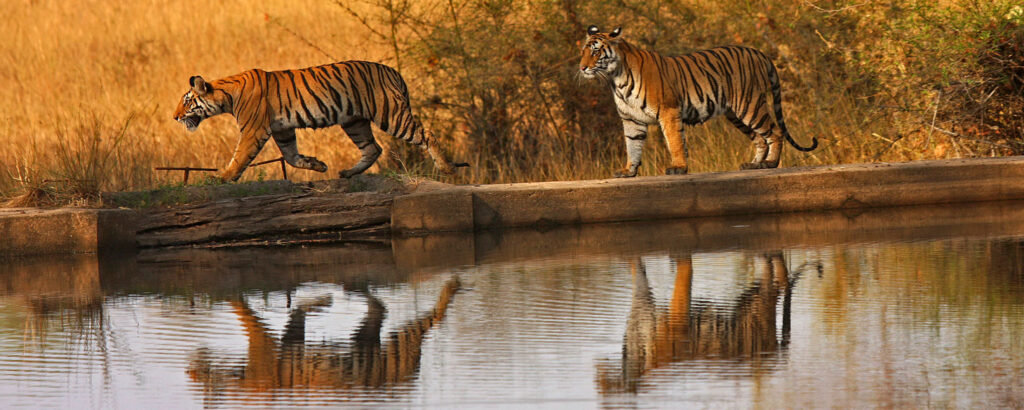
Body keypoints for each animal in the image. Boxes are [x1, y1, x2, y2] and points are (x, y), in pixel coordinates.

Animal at [173, 59, 468, 181]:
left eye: (187, 101)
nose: (174, 117)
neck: (227, 96)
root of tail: (393, 71)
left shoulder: (253, 130)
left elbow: (240, 156)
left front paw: (224, 177)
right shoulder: (282, 130)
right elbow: (291, 156)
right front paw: (317, 165)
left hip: (391, 116)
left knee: (427, 134)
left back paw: (447, 169)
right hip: (354, 121)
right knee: (373, 148)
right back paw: (347, 173)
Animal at [581, 24, 819, 177]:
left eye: (596, 52)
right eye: (583, 51)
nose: (582, 67)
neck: (616, 78)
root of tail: (757, 51)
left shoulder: (668, 111)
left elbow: (675, 142)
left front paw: (678, 168)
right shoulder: (631, 120)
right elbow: (633, 145)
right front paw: (628, 171)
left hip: (749, 105)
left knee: (775, 132)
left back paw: (771, 163)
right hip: (736, 114)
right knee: (760, 138)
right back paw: (754, 165)